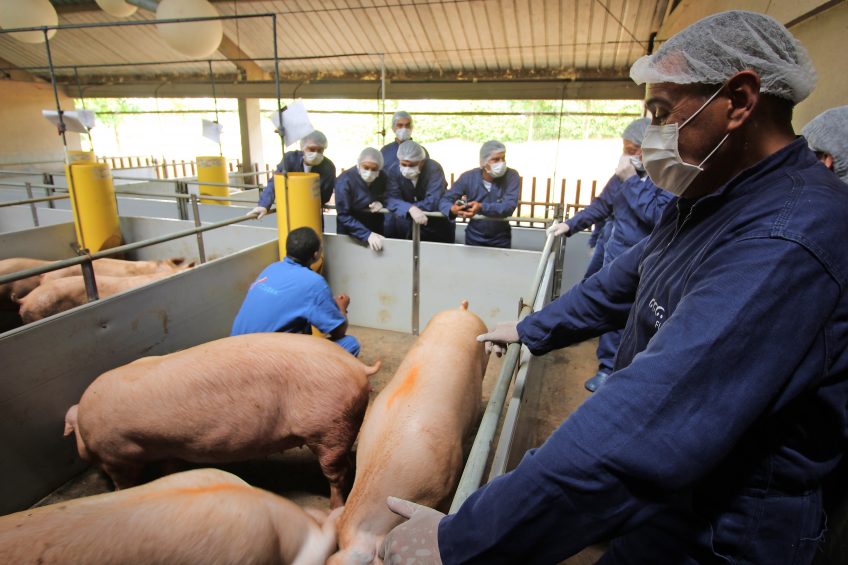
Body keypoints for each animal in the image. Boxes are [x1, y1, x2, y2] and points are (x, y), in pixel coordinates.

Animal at [59, 332, 378, 508]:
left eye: (74, 437)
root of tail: (357, 367)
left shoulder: (119, 453)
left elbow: (124, 482)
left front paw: (116, 492)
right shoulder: (167, 447)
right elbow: (169, 469)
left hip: (328, 428)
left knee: (337, 473)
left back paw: (334, 507)